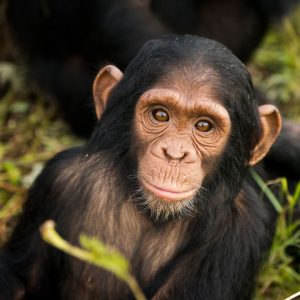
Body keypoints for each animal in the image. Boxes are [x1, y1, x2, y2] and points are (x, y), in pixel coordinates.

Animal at [0, 36, 284, 300]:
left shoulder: (245, 225)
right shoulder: (55, 180)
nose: (175, 154)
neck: (151, 214)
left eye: (204, 126)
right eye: (160, 115)